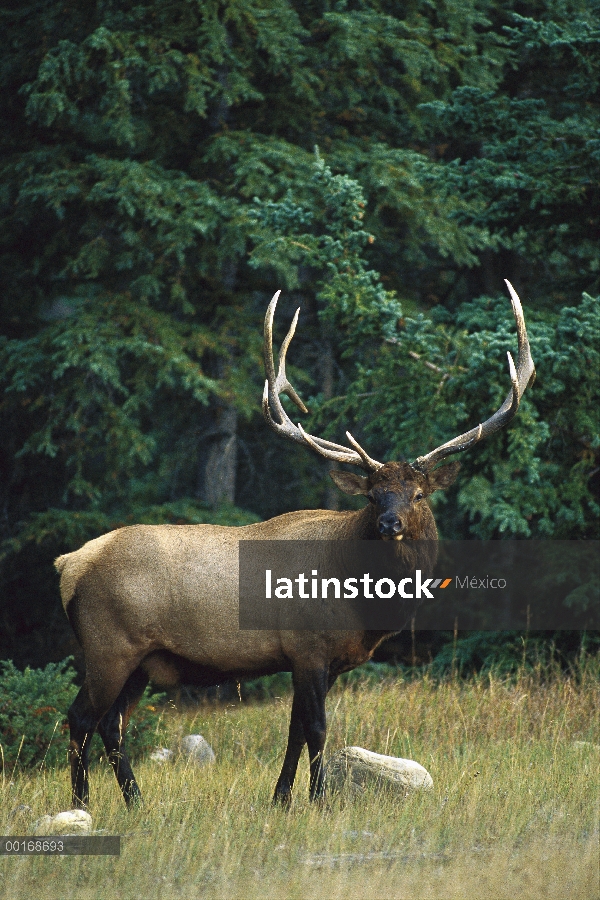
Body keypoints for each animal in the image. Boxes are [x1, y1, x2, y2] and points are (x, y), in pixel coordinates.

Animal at [55, 280, 536, 808]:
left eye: (419, 493)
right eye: (372, 494)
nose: (389, 523)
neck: (361, 604)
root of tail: (68, 564)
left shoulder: (320, 661)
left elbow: (295, 732)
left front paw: (281, 798)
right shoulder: (307, 649)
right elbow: (318, 729)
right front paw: (317, 797)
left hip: (140, 661)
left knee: (112, 726)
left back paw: (135, 801)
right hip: (108, 646)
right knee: (80, 718)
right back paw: (81, 803)